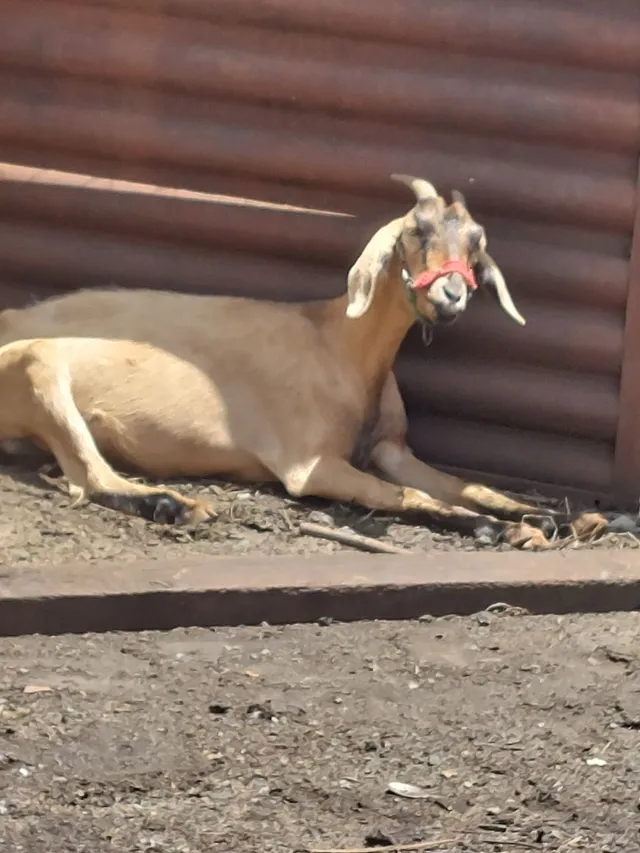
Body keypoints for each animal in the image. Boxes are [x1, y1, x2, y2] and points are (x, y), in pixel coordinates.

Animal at [0, 174, 606, 548]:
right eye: (416, 230)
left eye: (477, 241)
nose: (451, 296)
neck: (340, 347)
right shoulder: (308, 463)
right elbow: (411, 496)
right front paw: (506, 531)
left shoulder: (389, 448)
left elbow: (469, 485)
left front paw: (563, 517)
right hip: (37, 368)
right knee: (90, 476)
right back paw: (178, 506)